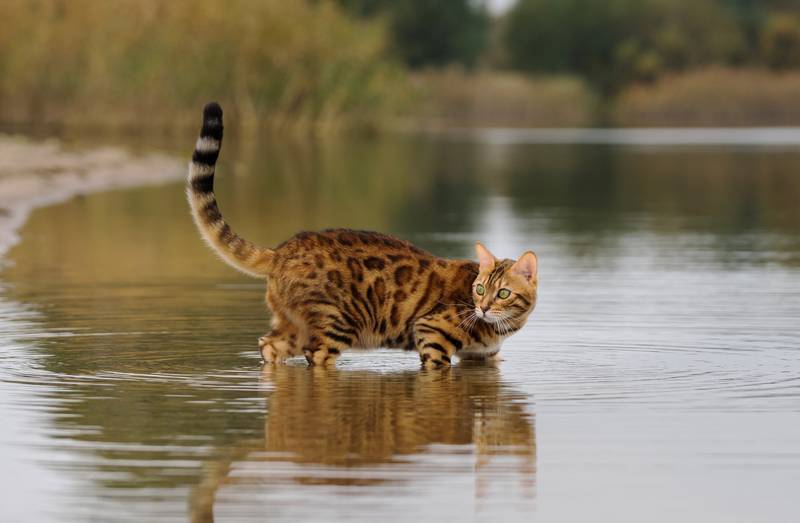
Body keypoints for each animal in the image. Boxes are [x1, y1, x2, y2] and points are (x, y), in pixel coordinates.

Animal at [187, 104, 536, 370]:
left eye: (502, 293)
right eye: (479, 289)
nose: (483, 308)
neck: (499, 326)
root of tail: (282, 249)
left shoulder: (484, 358)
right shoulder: (432, 333)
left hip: (293, 326)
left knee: (268, 346)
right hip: (335, 324)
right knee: (314, 356)